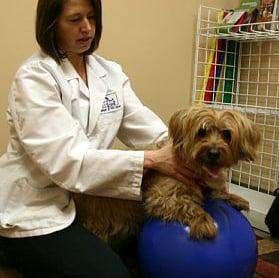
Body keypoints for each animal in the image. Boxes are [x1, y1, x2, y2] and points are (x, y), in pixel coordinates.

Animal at [73, 106, 262, 243]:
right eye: (201, 132)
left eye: (227, 134)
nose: (214, 153)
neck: (194, 167)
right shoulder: (163, 196)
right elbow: (189, 206)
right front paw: (204, 221)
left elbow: (216, 191)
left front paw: (235, 198)